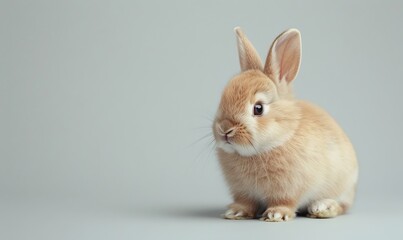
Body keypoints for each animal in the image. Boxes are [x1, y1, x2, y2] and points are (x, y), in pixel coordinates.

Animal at [213, 27, 358, 222]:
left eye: (258, 108)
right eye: (222, 99)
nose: (224, 129)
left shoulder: (289, 188)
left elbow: (285, 202)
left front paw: (276, 214)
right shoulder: (243, 192)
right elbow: (245, 203)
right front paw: (235, 212)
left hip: (343, 185)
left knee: (341, 206)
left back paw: (322, 207)